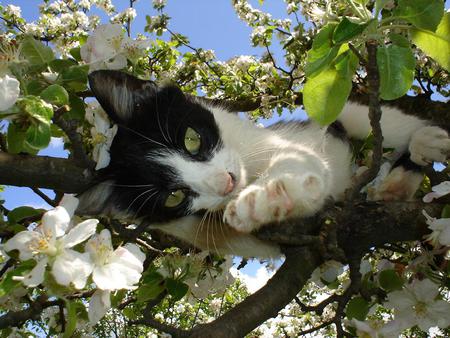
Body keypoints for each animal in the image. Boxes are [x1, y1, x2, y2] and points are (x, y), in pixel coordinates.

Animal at [77, 70, 450, 258]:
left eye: (191, 139)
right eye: (173, 197)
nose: (226, 182)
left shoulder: (267, 139)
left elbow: (298, 158)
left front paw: (265, 194)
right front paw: (270, 203)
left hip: (338, 116)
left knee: (384, 123)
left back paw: (425, 143)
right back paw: (391, 187)